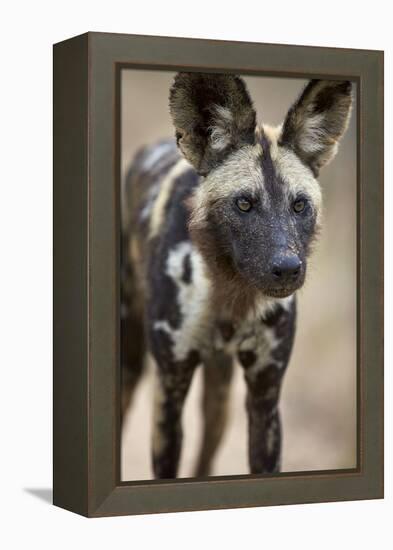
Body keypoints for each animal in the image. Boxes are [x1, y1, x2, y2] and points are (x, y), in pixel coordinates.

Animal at [121, 73, 350, 478]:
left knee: (206, 454)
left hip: (220, 397)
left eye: (299, 205)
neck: (231, 294)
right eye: (244, 203)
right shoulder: (169, 393)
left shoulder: (264, 397)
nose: (287, 268)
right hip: (130, 365)